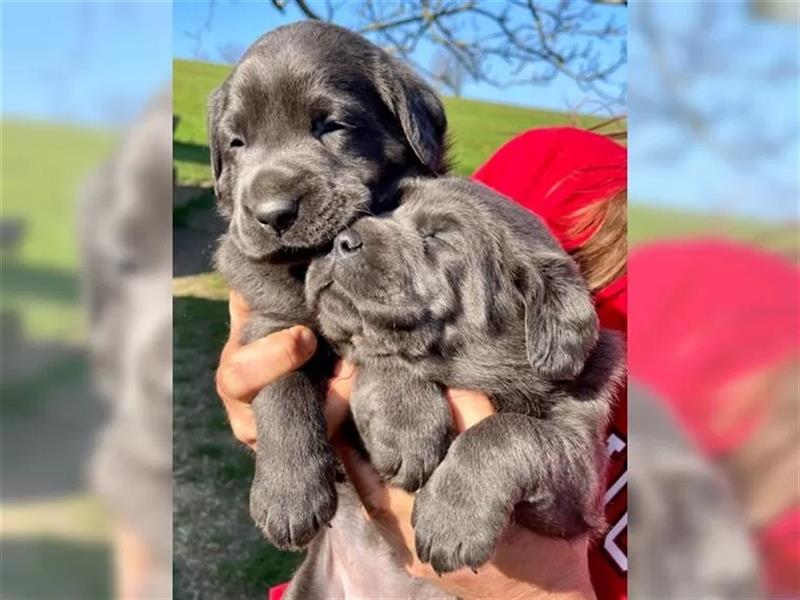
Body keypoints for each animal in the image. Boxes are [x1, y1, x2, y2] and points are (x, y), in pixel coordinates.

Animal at [211, 21, 450, 552]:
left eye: (332, 126)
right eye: (236, 142)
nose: (272, 213)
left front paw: (407, 423)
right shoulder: (270, 327)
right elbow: (283, 390)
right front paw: (288, 496)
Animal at [306, 177, 624, 572]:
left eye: (439, 237)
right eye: (389, 209)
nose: (340, 240)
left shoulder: (583, 480)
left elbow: (506, 430)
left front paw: (451, 518)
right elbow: (388, 354)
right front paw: (406, 422)